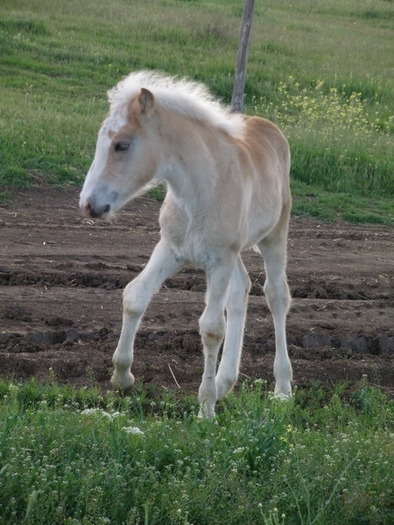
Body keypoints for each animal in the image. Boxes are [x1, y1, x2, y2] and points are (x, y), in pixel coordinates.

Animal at [79, 71, 292, 418]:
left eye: (121, 144)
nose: (88, 205)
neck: (200, 191)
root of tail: (269, 127)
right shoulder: (171, 249)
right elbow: (135, 296)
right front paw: (123, 377)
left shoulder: (219, 260)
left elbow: (211, 328)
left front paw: (205, 408)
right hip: (234, 253)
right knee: (241, 290)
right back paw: (225, 382)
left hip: (274, 234)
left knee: (276, 296)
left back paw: (283, 388)